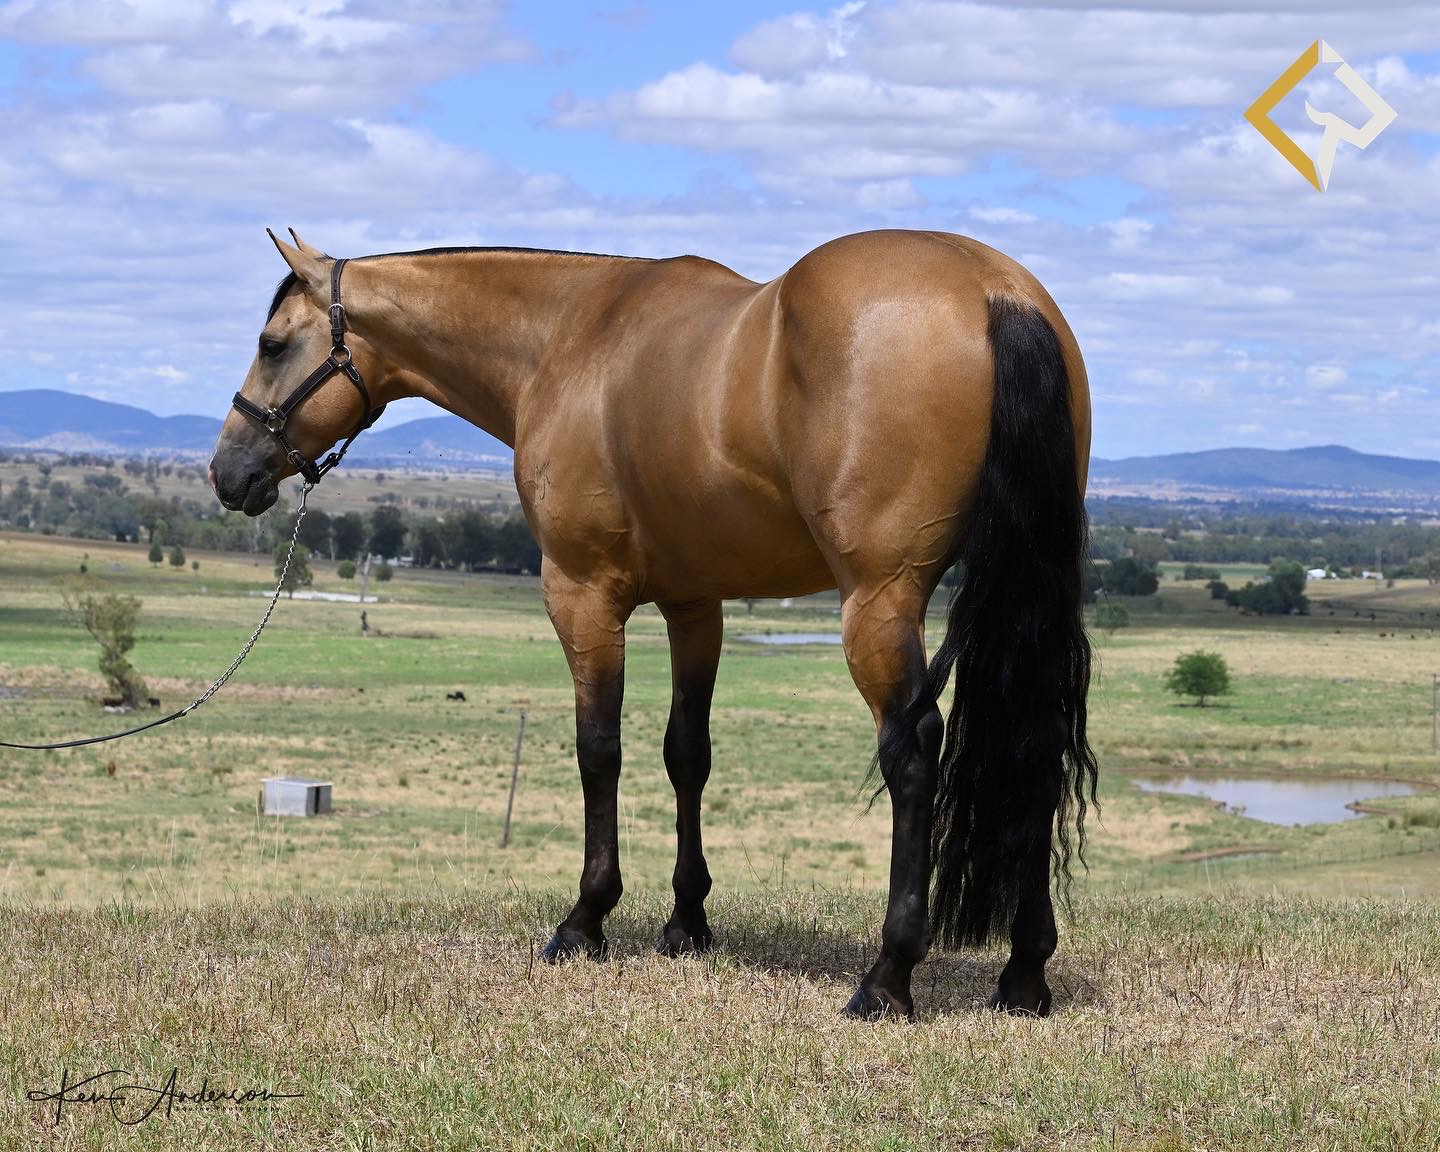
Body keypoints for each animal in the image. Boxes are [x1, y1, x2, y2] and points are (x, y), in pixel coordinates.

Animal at [210, 228, 1098, 1019]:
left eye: (272, 342)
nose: (227, 471)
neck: (566, 338)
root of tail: (996, 293)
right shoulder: (693, 605)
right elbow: (686, 755)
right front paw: (686, 922)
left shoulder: (581, 594)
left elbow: (598, 750)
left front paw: (584, 921)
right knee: (1035, 741)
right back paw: (1024, 973)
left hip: (879, 604)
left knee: (913, 757)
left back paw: (887, 978)